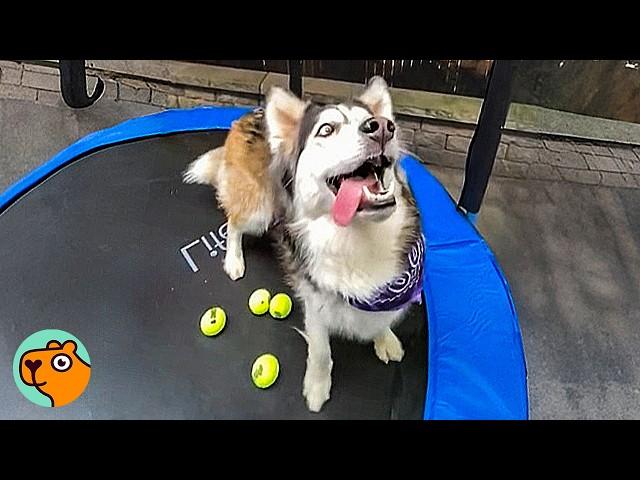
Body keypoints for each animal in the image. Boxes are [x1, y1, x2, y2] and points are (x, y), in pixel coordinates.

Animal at [184, 77, 424, 410]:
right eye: (327, 129)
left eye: (373, 120)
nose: (383, 127)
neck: (355, 238)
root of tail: (247, 116)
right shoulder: (316, 302)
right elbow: (322, 352)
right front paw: (317, 386)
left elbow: (380, 318)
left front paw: (384, 337)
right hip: (260, 210)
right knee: (233, 223)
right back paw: (234, 260)